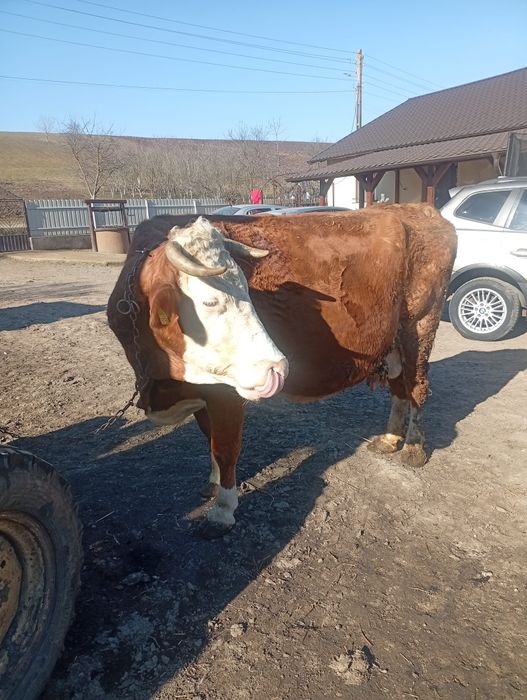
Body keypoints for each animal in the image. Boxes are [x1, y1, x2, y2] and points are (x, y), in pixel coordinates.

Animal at [107, 205, 457, 537]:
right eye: (209, 301)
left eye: (247, 290)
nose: (277, 366)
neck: (160, 381)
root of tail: (417, 209)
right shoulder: (203, 392)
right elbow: (210, 439)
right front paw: (213, 483)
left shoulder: (227, 393)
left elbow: (225, 448)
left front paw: (223, 511)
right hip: (394, 341)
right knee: (399, 389)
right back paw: (389, 439)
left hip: (420, 327)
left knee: (416, 387)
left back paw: (412, 448)